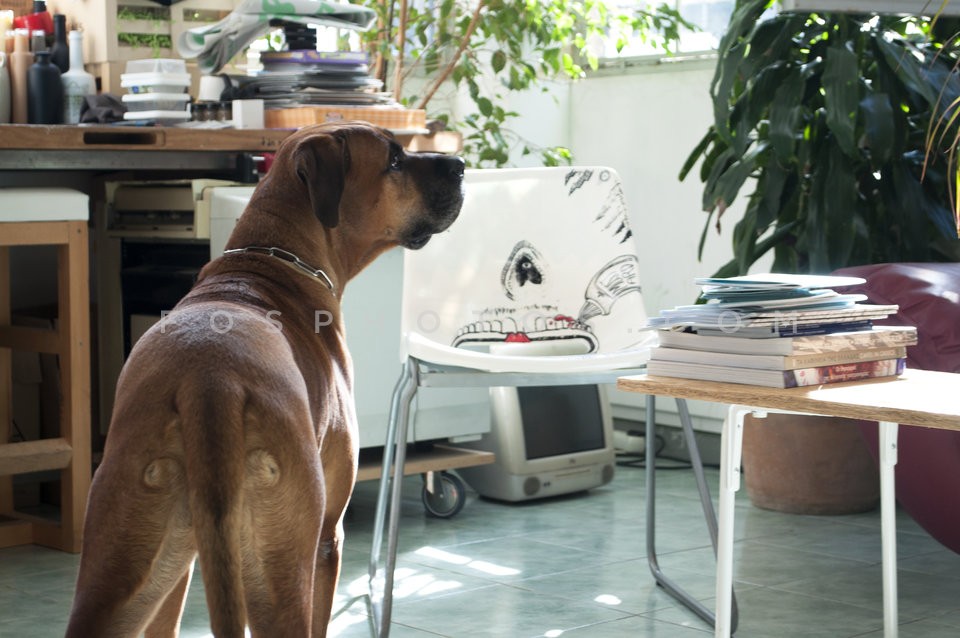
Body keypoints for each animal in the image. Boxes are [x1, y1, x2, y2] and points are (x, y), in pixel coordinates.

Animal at [66, 122, 465, 637]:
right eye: (394, 161)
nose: (461, 165)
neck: (271, 260)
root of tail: (209, 385)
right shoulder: (327, 540)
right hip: (283, 563)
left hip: (123, 556)